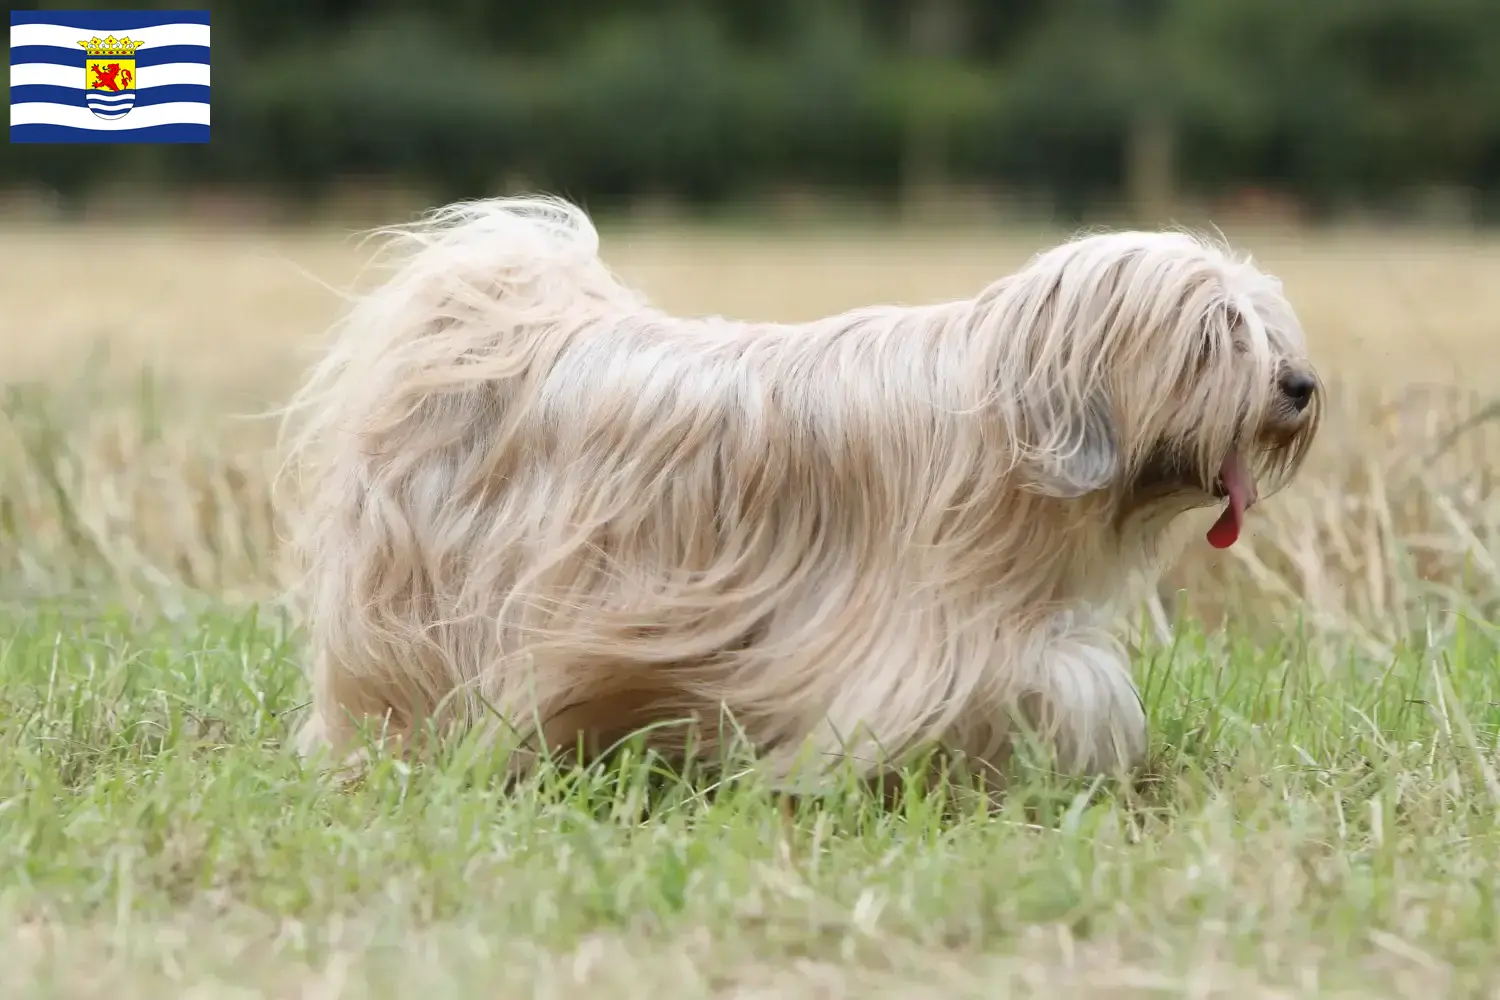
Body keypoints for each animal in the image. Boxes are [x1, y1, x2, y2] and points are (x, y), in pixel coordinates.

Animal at [276, 194, 1320, 791]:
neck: (1007, 405)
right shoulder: (920, 628)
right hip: (422, 600)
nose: (1302, 386)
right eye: (1216, 334)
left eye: (1268, 328)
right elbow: (1062, 680)